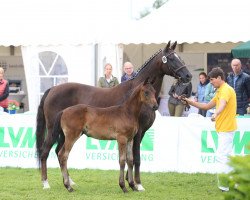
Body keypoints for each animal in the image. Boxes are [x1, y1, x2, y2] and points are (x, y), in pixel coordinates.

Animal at [35, 41, 191, 191]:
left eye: (179, 56)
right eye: (171, 58)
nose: (188, 76)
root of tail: (52, 89)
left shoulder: (137, 134)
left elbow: (130, 158)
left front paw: (130, 182)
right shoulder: (138, 132)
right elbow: (136, 158)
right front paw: (138, 184)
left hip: (65, 134)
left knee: (58, 152)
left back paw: (69, 182)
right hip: (53, 131)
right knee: (46, 152)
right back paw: (46, 183)